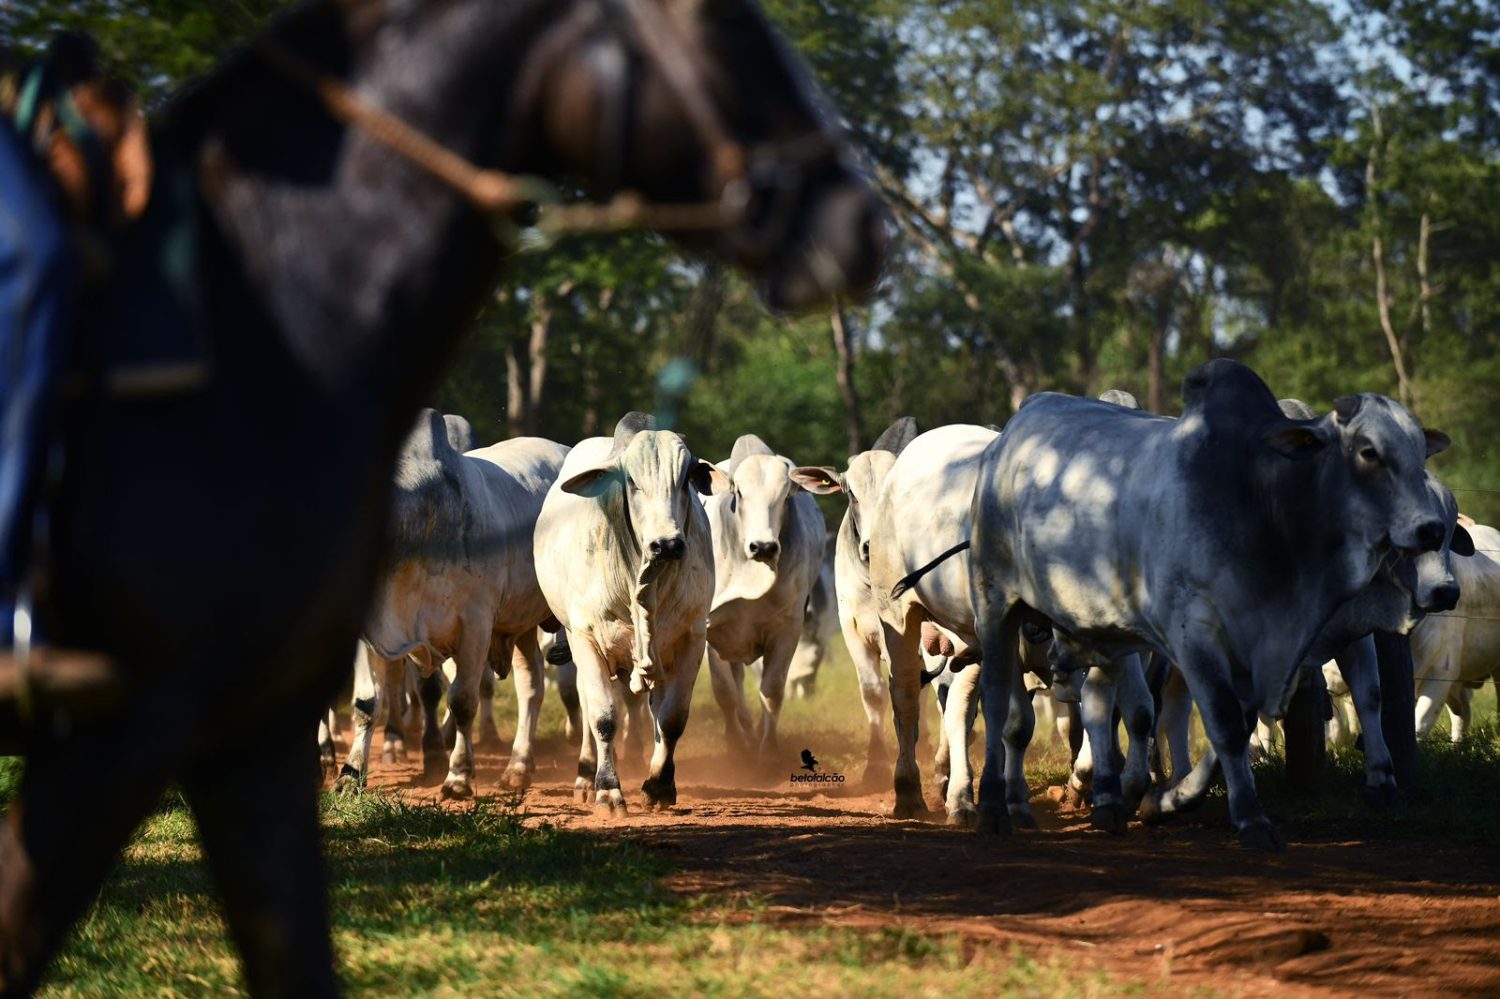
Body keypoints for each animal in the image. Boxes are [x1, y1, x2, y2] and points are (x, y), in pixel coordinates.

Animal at [343, 408, 570, 798]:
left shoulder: (475, 624)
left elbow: (462, 700)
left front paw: (458, 775)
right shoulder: (375, 634)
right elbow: (367, 702)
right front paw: (352, 771)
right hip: (520, 624)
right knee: (532, 687)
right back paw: (518, 767)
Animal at [537, 411, 729, 810]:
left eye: (686, 479)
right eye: (631, 481)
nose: (667, 544)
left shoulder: (691, 638)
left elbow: (672, 718)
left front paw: (659, 785)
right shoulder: (586, 637)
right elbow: (603, 717)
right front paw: (608, 789)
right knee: (588, 705)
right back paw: (585, 775)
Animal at [699, 432, 822, 759]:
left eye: (787, 495)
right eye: (739, 493)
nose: (763, 547)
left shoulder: (788, 628)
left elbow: (773, 690)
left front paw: (767, 751)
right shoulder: (711, 627)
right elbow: (724, 691)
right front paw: (735, 745)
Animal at [972, 361, 1452, 846]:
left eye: (1419, 451)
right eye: (1369, 452)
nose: (1430, 528)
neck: (1262, 507)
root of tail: (1016, 425)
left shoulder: (1259, 651)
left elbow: (1237, 728)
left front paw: (1168, 801)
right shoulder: (1195, 636)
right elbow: (1223, 723)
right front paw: (1252, 820)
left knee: (1100, 703)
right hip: (995, 604)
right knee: (997, 704)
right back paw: (994, 806)